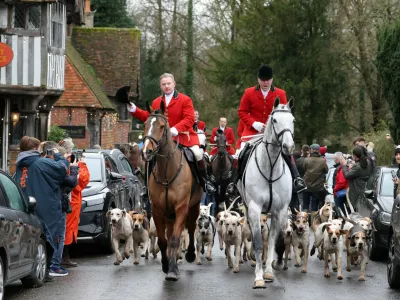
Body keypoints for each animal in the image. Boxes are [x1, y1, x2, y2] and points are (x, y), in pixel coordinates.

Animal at [141, 102, 203, 280]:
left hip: (193, 206)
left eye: (162, 126)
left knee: (191, 228)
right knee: (168, 235)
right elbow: (163, 240)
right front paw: (165, 264)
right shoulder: (157, 209)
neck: (167, 171)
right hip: (169, 215)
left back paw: (189, 254)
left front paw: (173, 270)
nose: (146, 151)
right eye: (145, 125)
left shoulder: (181, 208)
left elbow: (175, 239)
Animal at [238, 98, 294, 288]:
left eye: (293, 120)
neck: (270, 168)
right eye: (275, 120)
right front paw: (259, 277)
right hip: (248, 208)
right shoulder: (255, 209)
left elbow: (273, 241)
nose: (288, 147)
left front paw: (269, 271)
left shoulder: (280, 210)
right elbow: (257, 243)